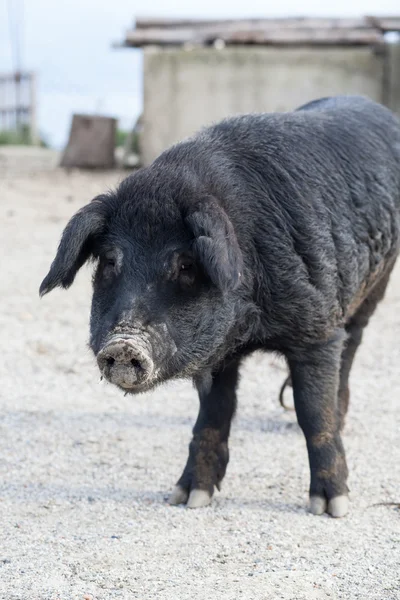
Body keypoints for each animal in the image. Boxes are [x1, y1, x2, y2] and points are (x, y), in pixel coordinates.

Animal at [39, 97, 400, 516]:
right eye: (111, 261)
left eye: (186, 264)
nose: (124, 344)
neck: (250, 328)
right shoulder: (217, 357)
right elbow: (213, 414)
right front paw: (188, 498)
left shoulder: (318, 330)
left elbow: (313, 412)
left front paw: (330, 507)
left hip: (374, 287)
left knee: (350, 350)